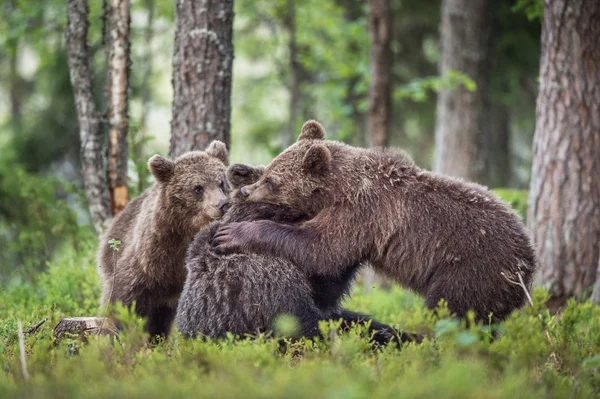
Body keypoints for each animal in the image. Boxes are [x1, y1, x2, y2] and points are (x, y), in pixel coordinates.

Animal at [98, 142, 230, 340]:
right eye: (198, 188)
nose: (222, 204)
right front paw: (114, 332)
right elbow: (121, 301)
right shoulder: (145, 262)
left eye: (221, 183)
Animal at [213, 120, 536, 324]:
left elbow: (321, 249)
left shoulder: (363, 213)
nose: (246, 191)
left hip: (473, 270)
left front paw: (232, 233)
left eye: (273, 181)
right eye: (268, 169)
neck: (339, 187)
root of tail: (529, 257)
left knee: (454, 313)